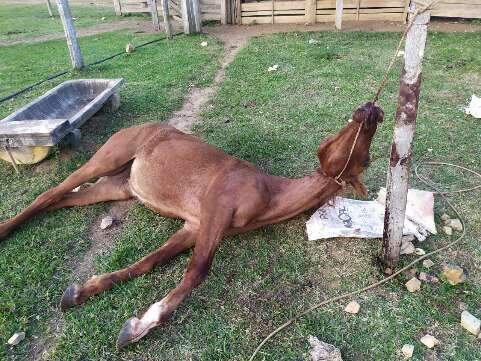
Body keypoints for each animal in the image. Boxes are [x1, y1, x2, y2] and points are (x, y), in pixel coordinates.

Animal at [0, 101, 382, 348]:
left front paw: (82, 292)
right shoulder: (215, 209)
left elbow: (148, 263)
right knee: (50, 193)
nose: (370, 109)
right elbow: (198, 271)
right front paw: (140, 326)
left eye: (364, 157)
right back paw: (5, 229)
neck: (268, 194)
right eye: (348, 135)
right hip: (107, 158)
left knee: (61, 199)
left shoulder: (194, 227)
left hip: (118, 186)